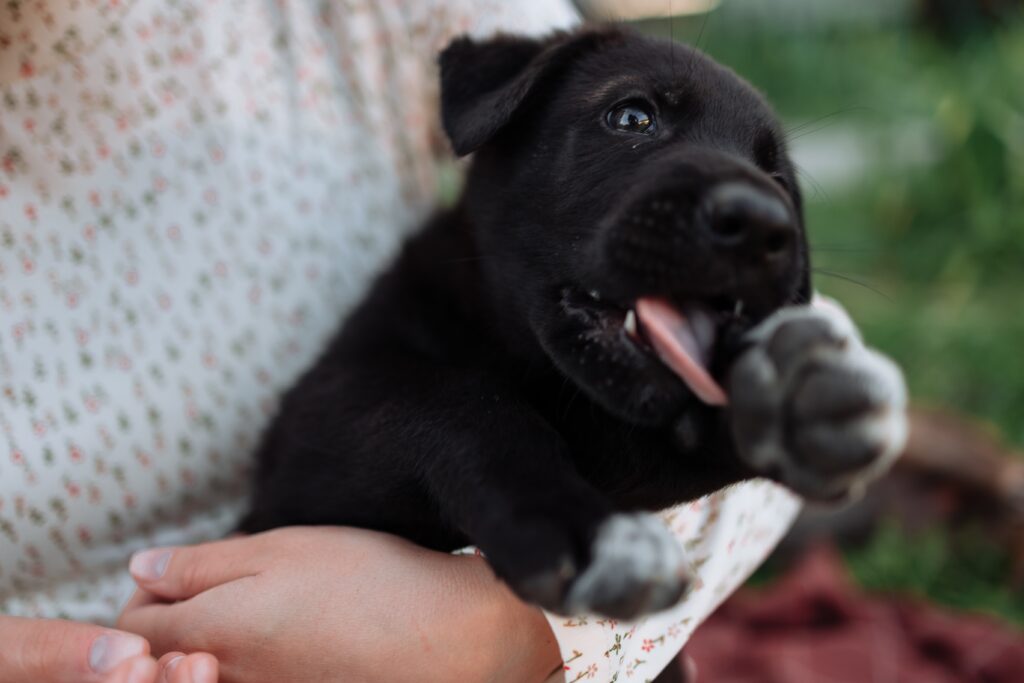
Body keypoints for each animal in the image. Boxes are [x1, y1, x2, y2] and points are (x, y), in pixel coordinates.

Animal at [243, 28, 909, 618]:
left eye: (778, 181)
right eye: (632, 118)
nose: (762, 225)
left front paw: (781, 391)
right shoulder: (305, 450)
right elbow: (455, 401)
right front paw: (579, 528)